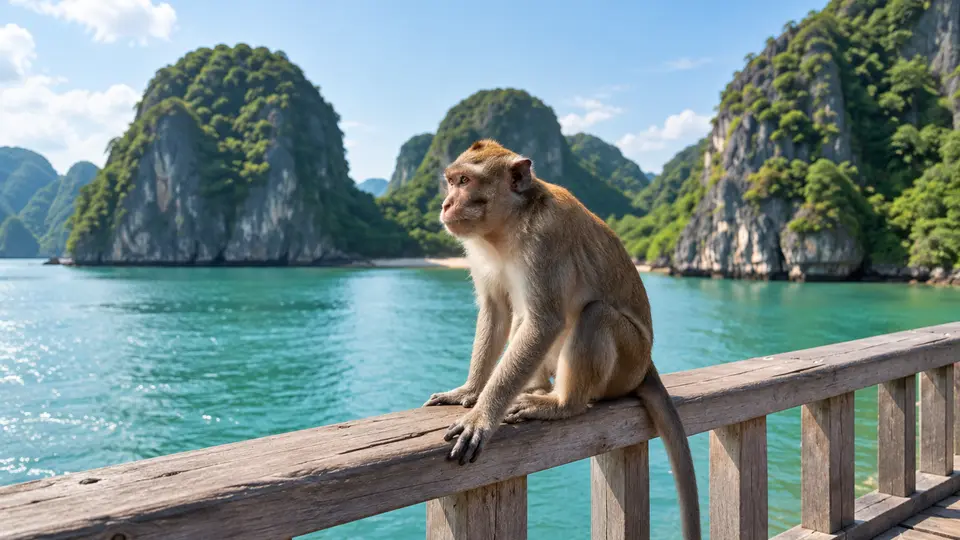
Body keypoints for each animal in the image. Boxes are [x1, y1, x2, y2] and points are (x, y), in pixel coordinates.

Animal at [423, 139, 701, 540]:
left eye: (464, 181)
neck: (508, 227)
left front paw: (482, 418)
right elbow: (497, 311)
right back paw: (537, 388)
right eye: (450, 181)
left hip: (627, 363)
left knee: (594, 315)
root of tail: (647, 364)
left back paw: (562, 403)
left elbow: (544, 323)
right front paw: (470, 391)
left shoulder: (546, 241)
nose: (446, 204)